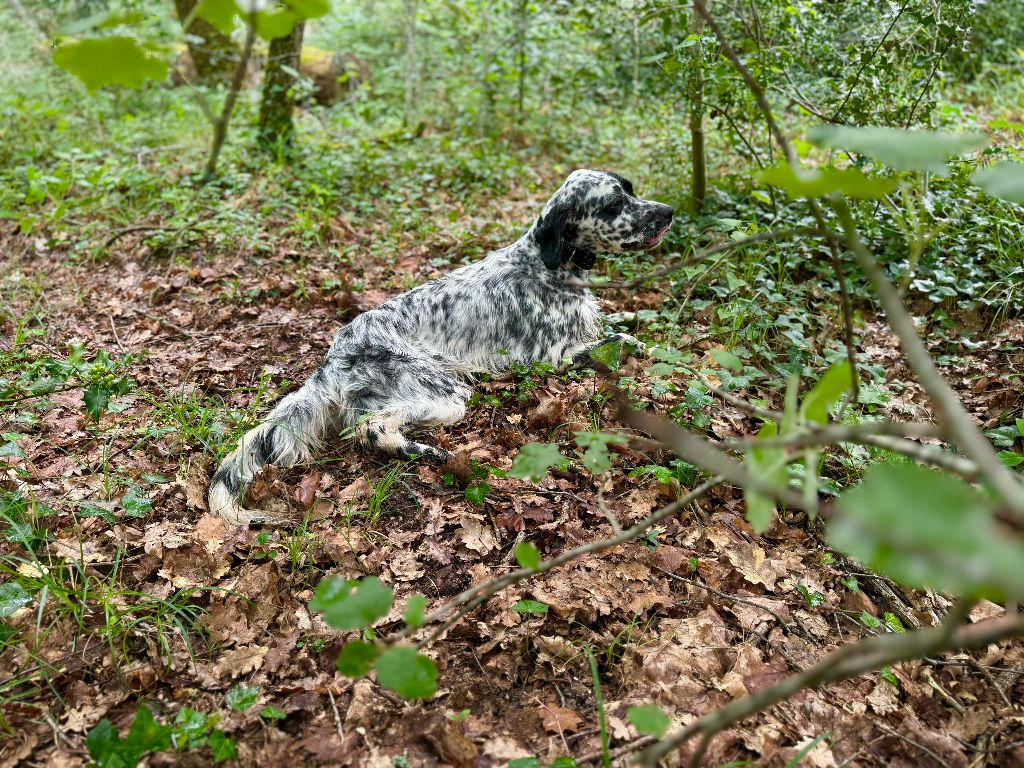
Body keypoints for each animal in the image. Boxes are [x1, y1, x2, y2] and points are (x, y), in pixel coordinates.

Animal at [207, 171, 671, 528]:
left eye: (630, 189)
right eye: (613, 204)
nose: (667, 212)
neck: (545, 263)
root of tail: (333, 359)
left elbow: (621, 323)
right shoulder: (553, 356)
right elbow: (625, 343)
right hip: (444, 392)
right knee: (369, 428)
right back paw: (429, 453)